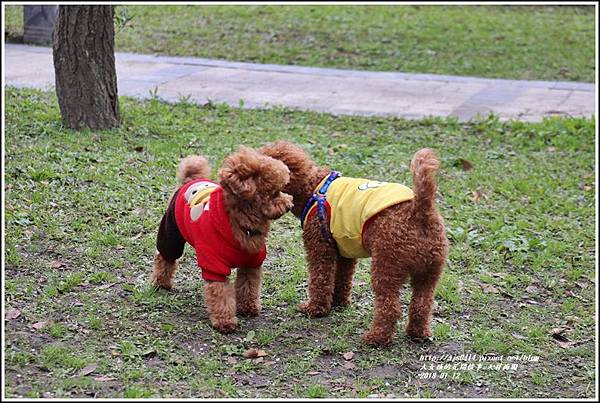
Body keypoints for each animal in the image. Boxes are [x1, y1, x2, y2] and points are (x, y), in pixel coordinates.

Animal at [149, 147, 290, 332]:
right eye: (273, 193)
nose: (289, 205)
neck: (241, 223)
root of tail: (191, 180)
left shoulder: (252, 262)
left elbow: (249, 286)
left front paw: (248, 307)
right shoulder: (214, 266)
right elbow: (220, 295)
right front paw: (225, 321)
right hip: (171, 233)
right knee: (164, 257)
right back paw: (161, 283)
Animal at [260, 140, 448, 346]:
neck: (314, 187)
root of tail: (421, 211)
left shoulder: (320, 248)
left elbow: (320, 280)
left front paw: (315, 308)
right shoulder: (344, 252)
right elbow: (342, 278)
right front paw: (338, 303)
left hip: (386, 268)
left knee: (390, 307)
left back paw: (376, 338)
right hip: (429, 273)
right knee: (422, 304)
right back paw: (418, 333)